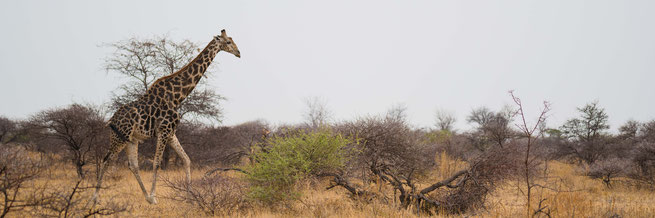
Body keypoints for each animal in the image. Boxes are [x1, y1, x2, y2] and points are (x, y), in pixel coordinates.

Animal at [93, 29, 242, 204]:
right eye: (228, 42)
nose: (238, 53)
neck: (177, 96)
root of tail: (111, 120)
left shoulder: (171, 132)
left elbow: (186, 159)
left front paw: (189, 196)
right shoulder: (164, 130)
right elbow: (157, 163)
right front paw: (155, 196)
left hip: (131, 138)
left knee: (132, 164)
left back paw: (145, 197)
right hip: (120, 137)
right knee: (106, 159)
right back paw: (95, 199)